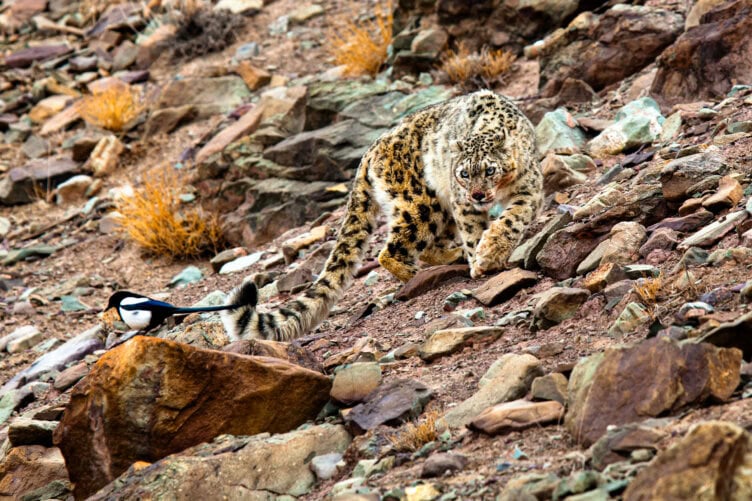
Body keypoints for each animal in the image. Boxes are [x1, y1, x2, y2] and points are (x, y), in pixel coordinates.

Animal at [221, 89, 543, 341]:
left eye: (490, 170)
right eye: (464, 173)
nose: (477, 195)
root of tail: (371, 151)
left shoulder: (529, 188)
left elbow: (513, 218)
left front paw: (490, 252)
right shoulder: (462, 204)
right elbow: (475, 231)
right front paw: (482, 261)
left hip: (437, 209)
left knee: (427, 246)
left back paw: (451, 258)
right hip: (423, 203)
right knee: (390, 251)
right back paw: (421, 274)